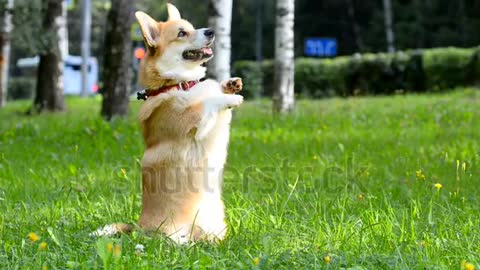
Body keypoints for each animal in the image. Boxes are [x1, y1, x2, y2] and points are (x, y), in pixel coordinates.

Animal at [93, 2, 244, 243]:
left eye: (192, 27)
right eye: (182, 33)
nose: (211, 31)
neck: (178, 84)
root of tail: (138, 227)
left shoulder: (218, 126)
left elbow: (216, 96)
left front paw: (229, 85)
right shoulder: (194, 121)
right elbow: (207, 102)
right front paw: (230, 98)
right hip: (168, 232)